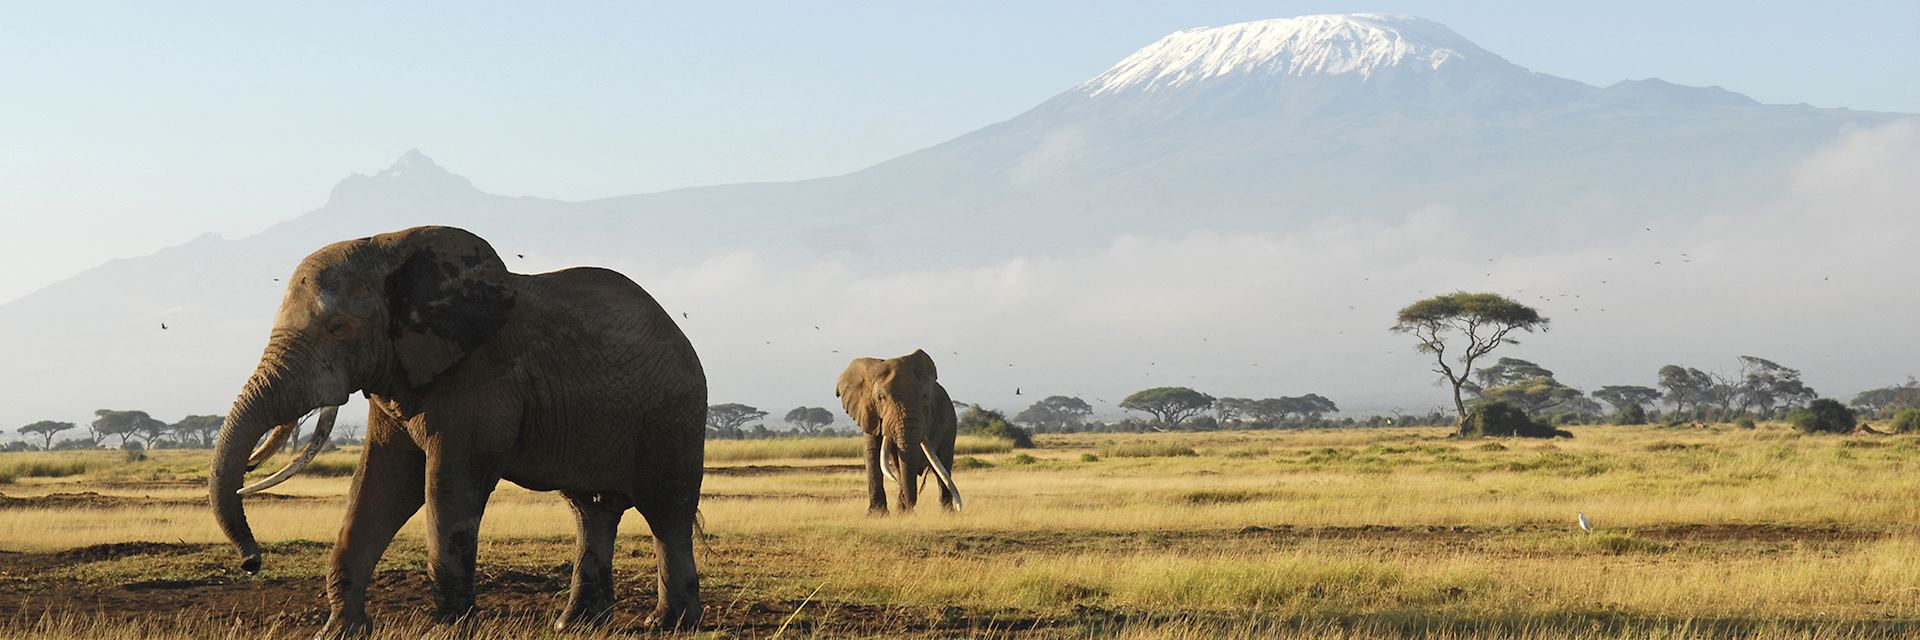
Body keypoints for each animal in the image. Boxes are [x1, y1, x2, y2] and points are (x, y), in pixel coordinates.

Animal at [210, 223, 706, 634]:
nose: (252, 562)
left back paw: (669, 625)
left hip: (674, 414)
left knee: (668, 511)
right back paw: (577, 625)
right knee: (591, 509)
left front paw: (449, 628)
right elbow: (381, 485)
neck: (390, 249)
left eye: (337, 327)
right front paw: (340, 631)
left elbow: (447, 486)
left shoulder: (479, 376)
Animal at [837, 345, 960, 515]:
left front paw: (901, 513)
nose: (911, 509)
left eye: (924, 397)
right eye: (881, 398)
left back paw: (946, 514)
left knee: (943, 466)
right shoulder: (869, 413)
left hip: (950, 423)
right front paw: (877, 515)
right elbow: (872, 453)